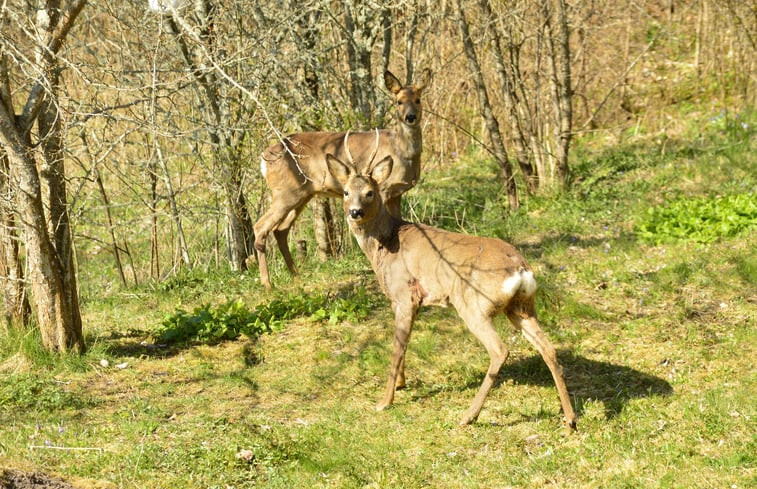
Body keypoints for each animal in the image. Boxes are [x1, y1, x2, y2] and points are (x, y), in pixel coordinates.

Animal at [254, 69, 432, 290]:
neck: (401, 151)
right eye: (398, 101)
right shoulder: (383, 189)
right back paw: (268, 284)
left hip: (302, 195)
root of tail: (264, 158)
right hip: (284, 193)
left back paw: (296, 276)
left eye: (418, 99)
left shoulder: (396, 194)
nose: (410, 117)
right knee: (260, 227)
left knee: (280, 229)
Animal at [324, 135, 580, 432]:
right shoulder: (405, 301)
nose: (354, 212)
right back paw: (570, 420)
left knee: (500, 350)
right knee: (547, 348)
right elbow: (404, 343)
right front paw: (401, 385)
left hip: (473, 304)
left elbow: (397, 348)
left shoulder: (405, 293)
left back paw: (468, 416)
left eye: (369, 192)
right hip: (522, 306)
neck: (385, 244)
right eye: (345, 192)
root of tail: (521, 270)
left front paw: (384, 401)